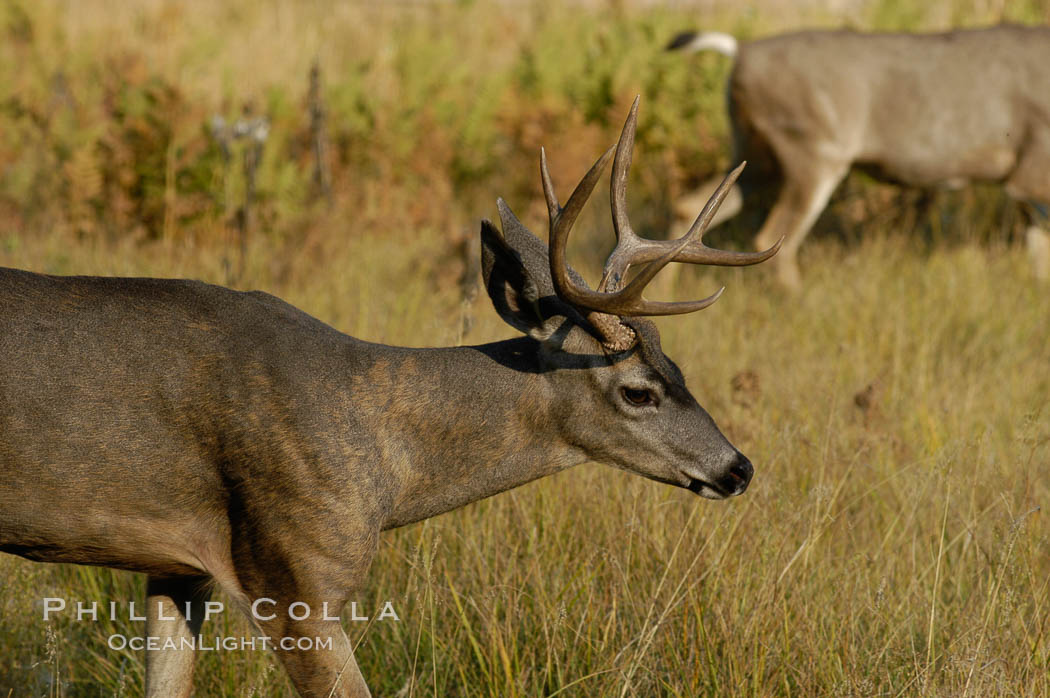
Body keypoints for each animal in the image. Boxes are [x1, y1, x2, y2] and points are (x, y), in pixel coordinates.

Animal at [2, 99, 781, 696]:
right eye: (639, 391)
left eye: (679, 365)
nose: (738, 467)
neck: (390, 462)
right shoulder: (294, 571)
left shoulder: (176, 570)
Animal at [667, 24, 1050, 285]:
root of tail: (741, 51)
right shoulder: (1032, 170)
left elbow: (1039, 258)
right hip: (813, 149)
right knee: (775, 238)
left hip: (753, 153)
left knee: (689, 206)